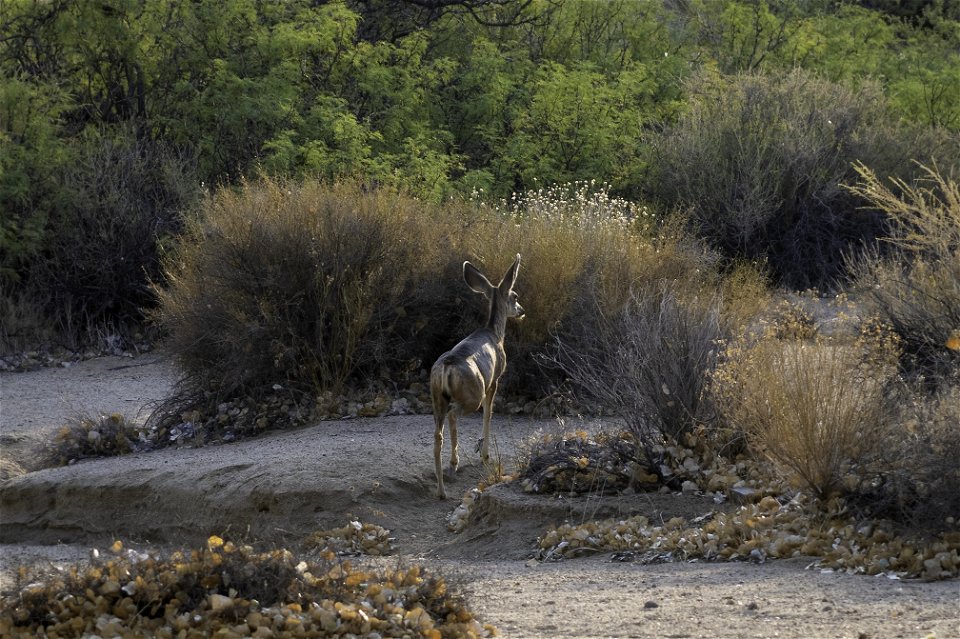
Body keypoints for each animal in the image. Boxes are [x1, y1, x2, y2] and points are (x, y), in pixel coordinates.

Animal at [434, 255, 528, 500]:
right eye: (515, 296)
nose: (522, 310)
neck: (495, 333)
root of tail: (446, 367)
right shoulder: (495, 379)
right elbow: (489, 414)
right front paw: (485, 454)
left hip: (436, 398)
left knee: (438, 435)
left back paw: (442, 489)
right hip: (472, 393)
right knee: (455, 415)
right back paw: (454, 464)